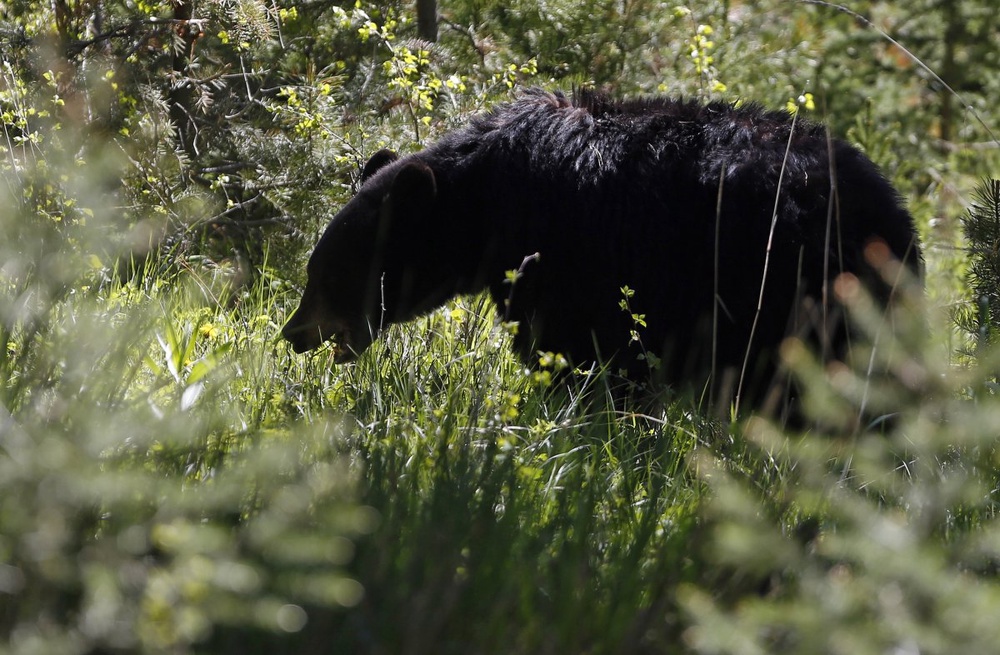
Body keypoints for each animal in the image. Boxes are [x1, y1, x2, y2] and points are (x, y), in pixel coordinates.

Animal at [282, 88, 920, 416]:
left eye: (328, 273)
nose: (293, 333)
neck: (489, 198)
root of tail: (894, 217)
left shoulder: (580, 260)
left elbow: (579, 349)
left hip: (795, 291)